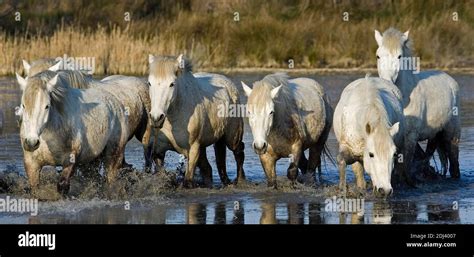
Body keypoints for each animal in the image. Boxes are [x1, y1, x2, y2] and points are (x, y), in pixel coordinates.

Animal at [374, 27, 460, 178]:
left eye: (399, 56)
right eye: (378, 56)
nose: (386, 83)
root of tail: (451, 81)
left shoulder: (410, 138)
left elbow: (405, 168)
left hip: (451, 136)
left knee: (454, 165)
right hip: (435, 135)